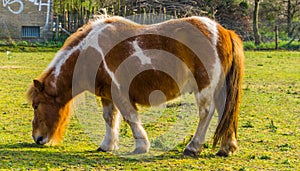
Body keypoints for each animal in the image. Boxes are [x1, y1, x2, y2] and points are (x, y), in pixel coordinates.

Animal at [26, 15, 244, 156]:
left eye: (36, 105)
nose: (38, 138)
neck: (90, 52)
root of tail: (223, 32)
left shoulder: (120, 92)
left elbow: (130, 117)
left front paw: (141, 147)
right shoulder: (106, 95)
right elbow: (110, 118)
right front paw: (107, 145)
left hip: (205, 87)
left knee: (206, 113)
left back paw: (192, 147)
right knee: (225, 112)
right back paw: (226, 148)